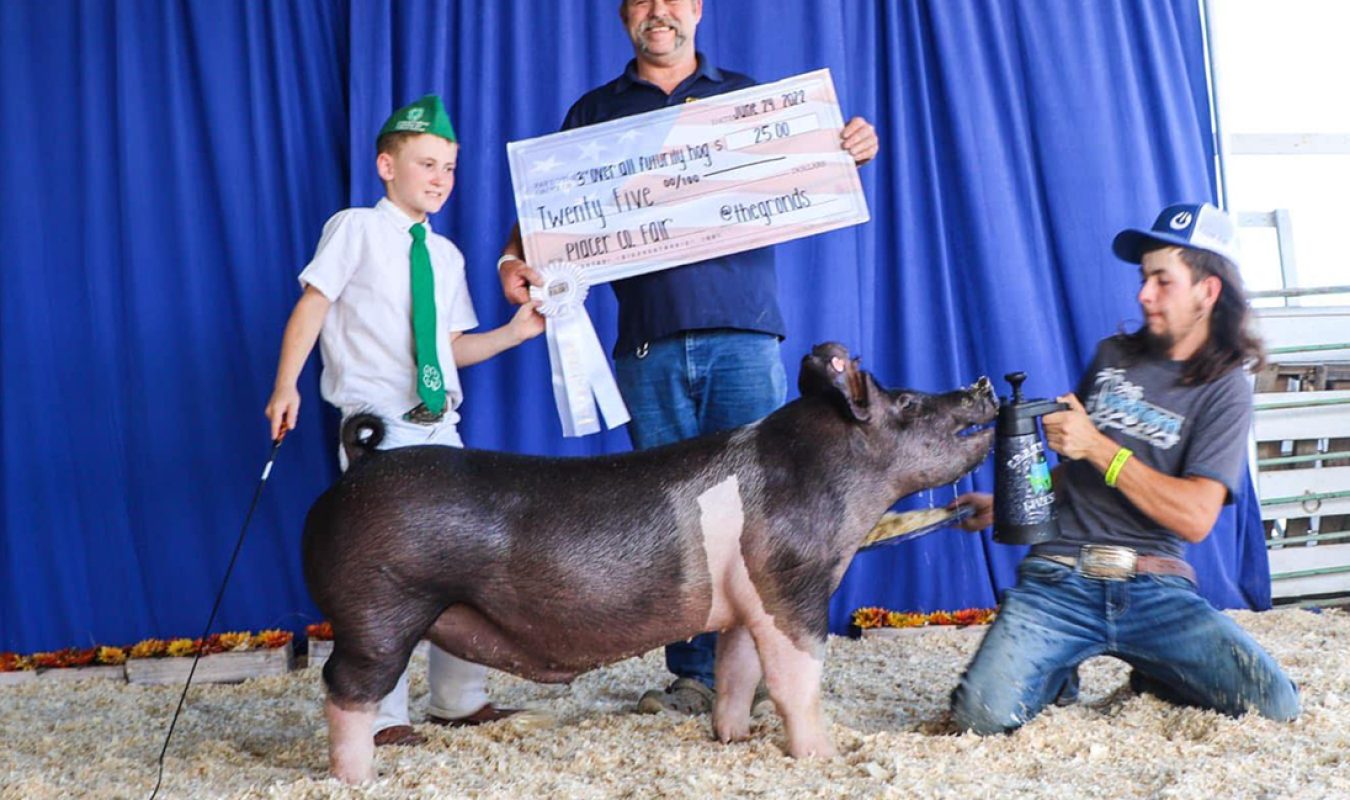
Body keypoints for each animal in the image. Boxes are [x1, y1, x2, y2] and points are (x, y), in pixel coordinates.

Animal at [309, 342, 1004, 782]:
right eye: (908, 403)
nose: (982, 382)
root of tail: (358, 468)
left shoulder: (744, 602)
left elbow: (737, 674)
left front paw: (734, 739)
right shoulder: (790, 584)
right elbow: (796, 681)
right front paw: (823, 759)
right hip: (381, 611)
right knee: (345, 688)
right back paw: (358, 778)